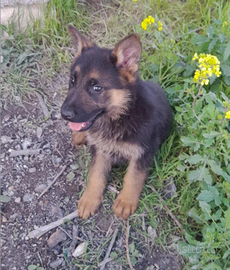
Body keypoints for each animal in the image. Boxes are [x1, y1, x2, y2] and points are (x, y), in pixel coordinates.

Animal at [61, 24, 172, 219]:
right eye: (72, 81)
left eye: (97, 88)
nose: (63, 114)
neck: (119, 117)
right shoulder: (100, 149)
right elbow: (95, 174)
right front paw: (90, 198)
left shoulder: (142, 153)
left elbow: (133, 178)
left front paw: (126, 201)